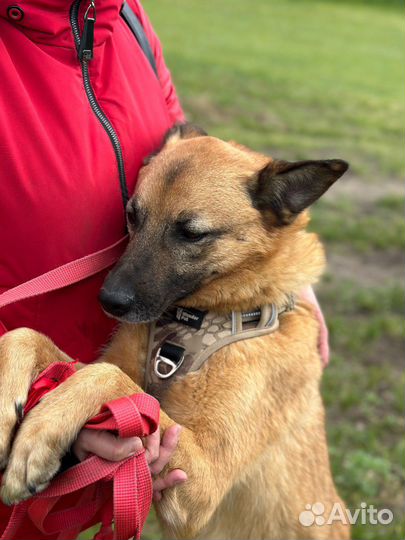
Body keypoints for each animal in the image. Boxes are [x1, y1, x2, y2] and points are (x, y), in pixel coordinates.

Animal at [0, 124, 350, 536]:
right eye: (132, 216)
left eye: (192, 233)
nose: (109, 301)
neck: (202, 318)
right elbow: (26, 336)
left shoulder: (203, 486)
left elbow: (108, 376)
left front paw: (38, 436)